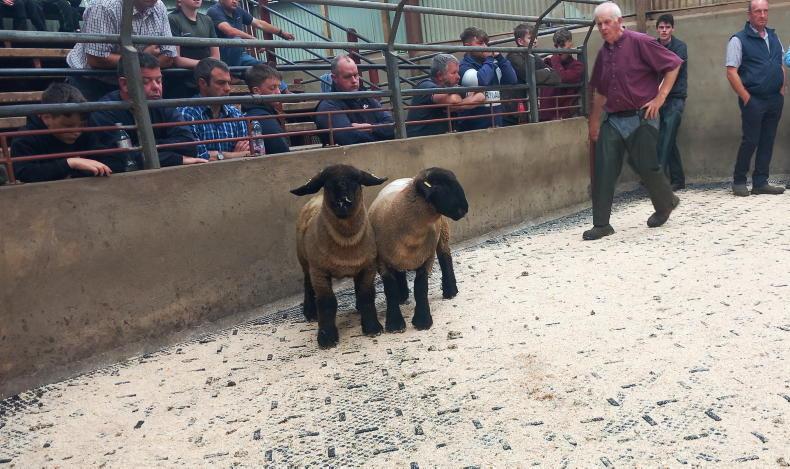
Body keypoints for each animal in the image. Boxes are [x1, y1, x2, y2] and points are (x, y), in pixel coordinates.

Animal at [291, 164, 388, 348]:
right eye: (326, 183)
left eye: (357, 181)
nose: (343, 202)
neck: (346, 242)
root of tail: (314, 198)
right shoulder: (319, 272)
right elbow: (327, 302)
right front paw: (327, 337)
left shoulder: (368, 267)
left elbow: (366, 295)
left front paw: (372, 326)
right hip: (305, 260)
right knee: (307, 284)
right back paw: (310, 312)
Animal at [368, 167, 468, 332]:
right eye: (442, 185)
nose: (465, 208)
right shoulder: (381, 261)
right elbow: (390, 290)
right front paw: (394, 323)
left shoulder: (427, 257)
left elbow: (421, 288)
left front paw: (423, 321)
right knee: (399, 271)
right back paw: (402, 296)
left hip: (443, 233)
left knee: (445, 258)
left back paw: (450, 290)